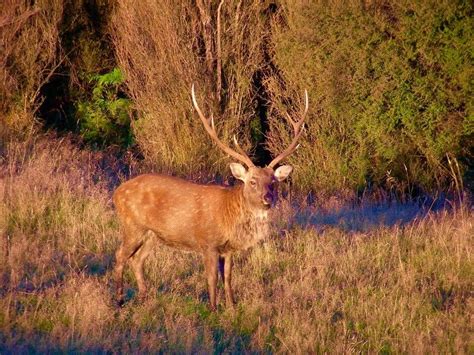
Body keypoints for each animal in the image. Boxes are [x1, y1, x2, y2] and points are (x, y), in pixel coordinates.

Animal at [113, 85, 310, 310]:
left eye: (274, 181)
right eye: (252, 181)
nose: (268, 198)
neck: (230, 217)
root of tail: (117, 192)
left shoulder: (229, 249)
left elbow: (228, 277)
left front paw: (232, 307)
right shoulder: (208, 243)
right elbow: (212, 278)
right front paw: (213, 308)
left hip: (153, 234)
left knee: (137, 259)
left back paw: (144, 297)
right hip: (132, 224)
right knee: (120, 255)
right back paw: (119, 300)